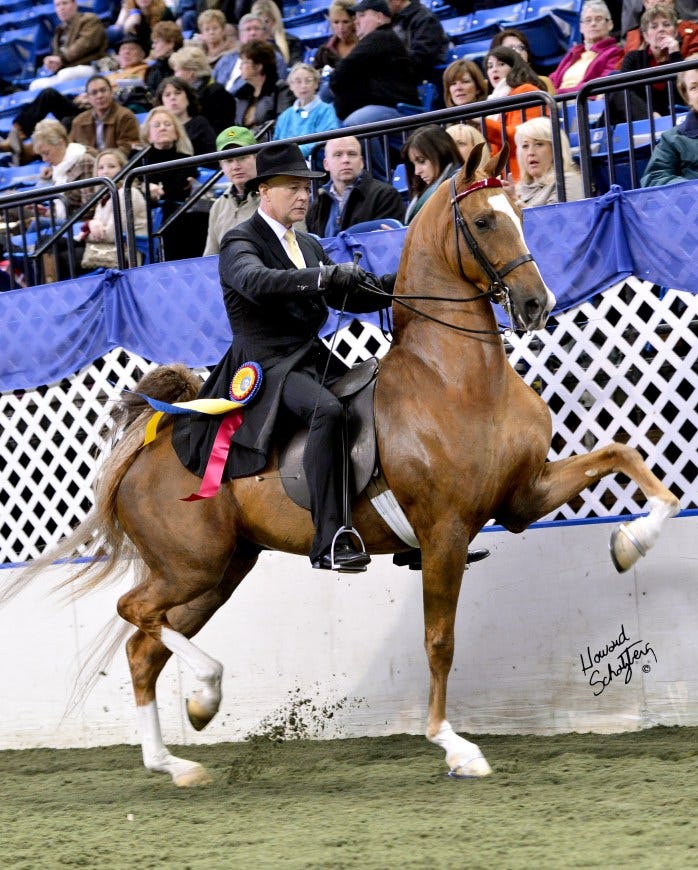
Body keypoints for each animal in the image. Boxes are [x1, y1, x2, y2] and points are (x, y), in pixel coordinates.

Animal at [8, 144, 680, 786]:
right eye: (486, 221)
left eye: (521, 212)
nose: (537, 304)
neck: (457, 380)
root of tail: (149, 444)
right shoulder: (444, 533)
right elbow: (440, 642)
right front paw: (454, 746)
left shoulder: (522, 498)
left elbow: (621, 453)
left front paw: (632, 542)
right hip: (189, 567)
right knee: (135, 614)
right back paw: (205, 693)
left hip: (218, 572)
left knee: (144, 647)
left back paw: (176, 757)